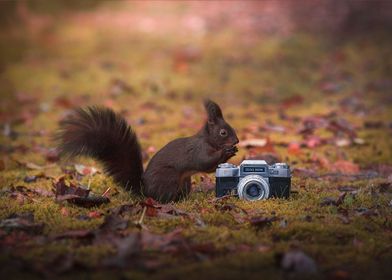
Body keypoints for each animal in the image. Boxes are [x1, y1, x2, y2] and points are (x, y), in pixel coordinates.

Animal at [56, 99, 239, 202]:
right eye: (223, 132)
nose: (237, 141)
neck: (208, 140)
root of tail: (145, 190)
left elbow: (210, 168)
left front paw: (233, 151)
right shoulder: (197, 150)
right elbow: (205, 162)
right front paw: (227, 151)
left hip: (184, 182)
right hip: (168, 179)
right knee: (163, 198)